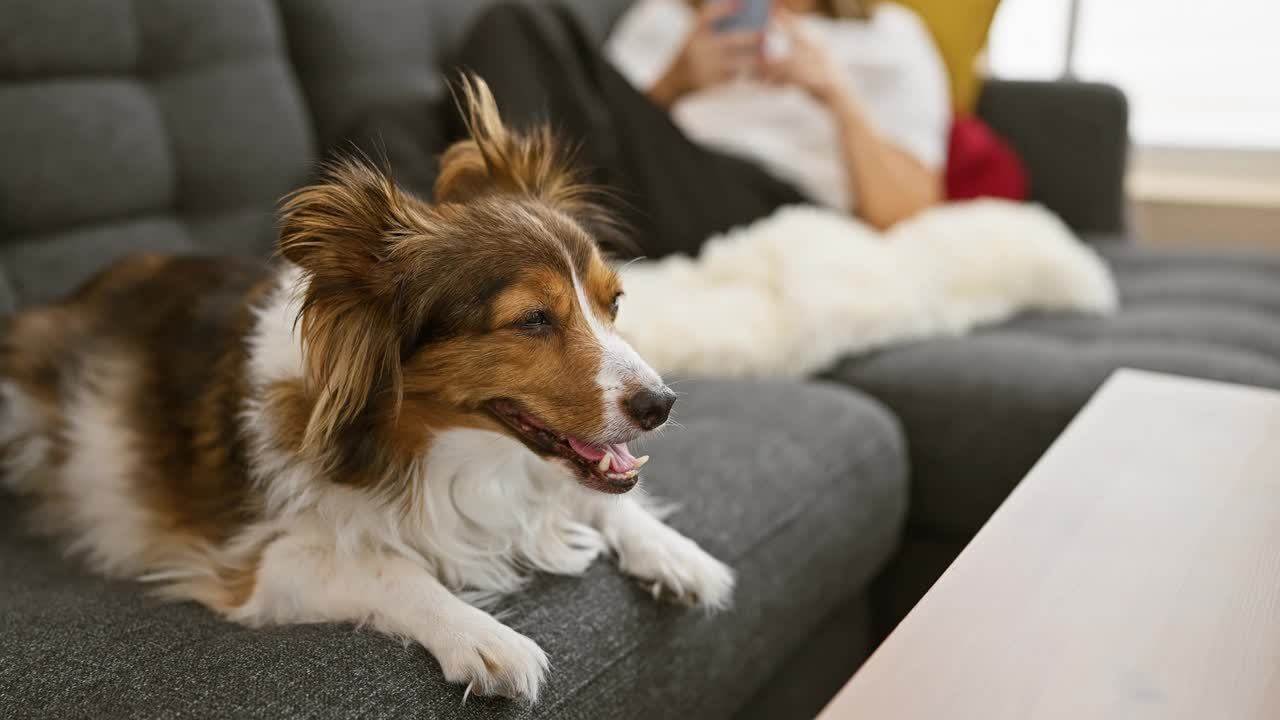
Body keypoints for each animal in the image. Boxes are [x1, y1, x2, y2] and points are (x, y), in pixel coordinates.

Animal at [0, 78, 737, 702]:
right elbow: (393, 568)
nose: (661, 405)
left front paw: (677, 552)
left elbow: (606, 500)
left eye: (614, 303)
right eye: (532, 320)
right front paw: (487, 638)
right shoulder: (265, 561)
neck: (441, 449)